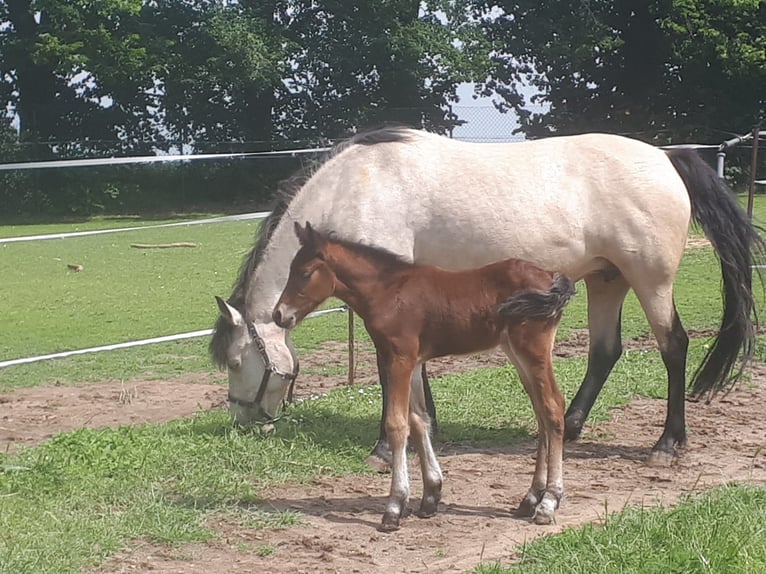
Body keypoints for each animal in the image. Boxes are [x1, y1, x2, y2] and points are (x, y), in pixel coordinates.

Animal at [274, 223, 576, 532]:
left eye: (305, 272)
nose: (279, 315)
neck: (387, 292)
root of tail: (551, 276)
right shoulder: (415, 363)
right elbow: (419, 420)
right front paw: (431, 495)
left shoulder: (400, 360)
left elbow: (397, 424)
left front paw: (394, 507)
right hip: (517, 354)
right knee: (541, 413)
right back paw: (530, 499)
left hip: (533, 351)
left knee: (553, 407)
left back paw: (548, 502)